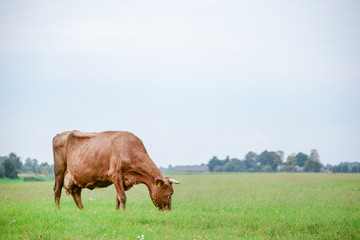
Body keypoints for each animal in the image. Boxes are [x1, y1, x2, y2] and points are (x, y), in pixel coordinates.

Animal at [52, 130, 180, 211]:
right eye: (169, 194)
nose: (169, 211)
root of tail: (60, 134)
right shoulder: (115, 174)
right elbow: (122, 197)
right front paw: (124, 212)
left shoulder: (122, 179)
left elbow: (118, 197)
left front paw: (118, 211)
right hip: (59, 171)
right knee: (57, 191)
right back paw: (58, 210)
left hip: (76, 177)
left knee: (76, 194)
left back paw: (82, 210)